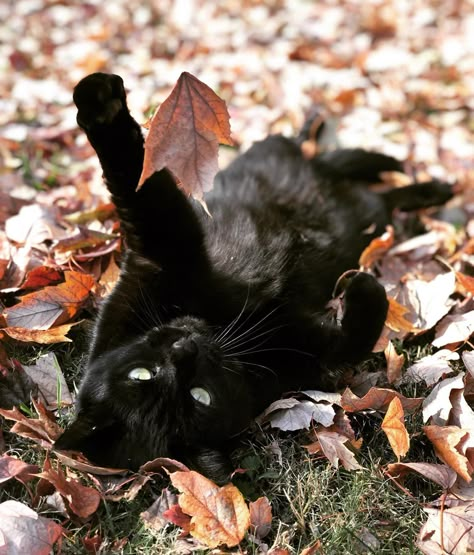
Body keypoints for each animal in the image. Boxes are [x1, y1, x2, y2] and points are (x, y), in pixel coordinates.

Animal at [54, 73, 452, 482]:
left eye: (140, 375)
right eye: (198, 396)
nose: (183, 348)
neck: (222, 325)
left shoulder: (155, 261)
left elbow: (137, 180)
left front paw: (97, 101)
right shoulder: (306, 357)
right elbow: (356, 338)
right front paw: (363, 286)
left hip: (281, 162)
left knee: (317, 152)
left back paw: (362, 147)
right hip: (367, 216)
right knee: (374, 193)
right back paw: (428, 189)